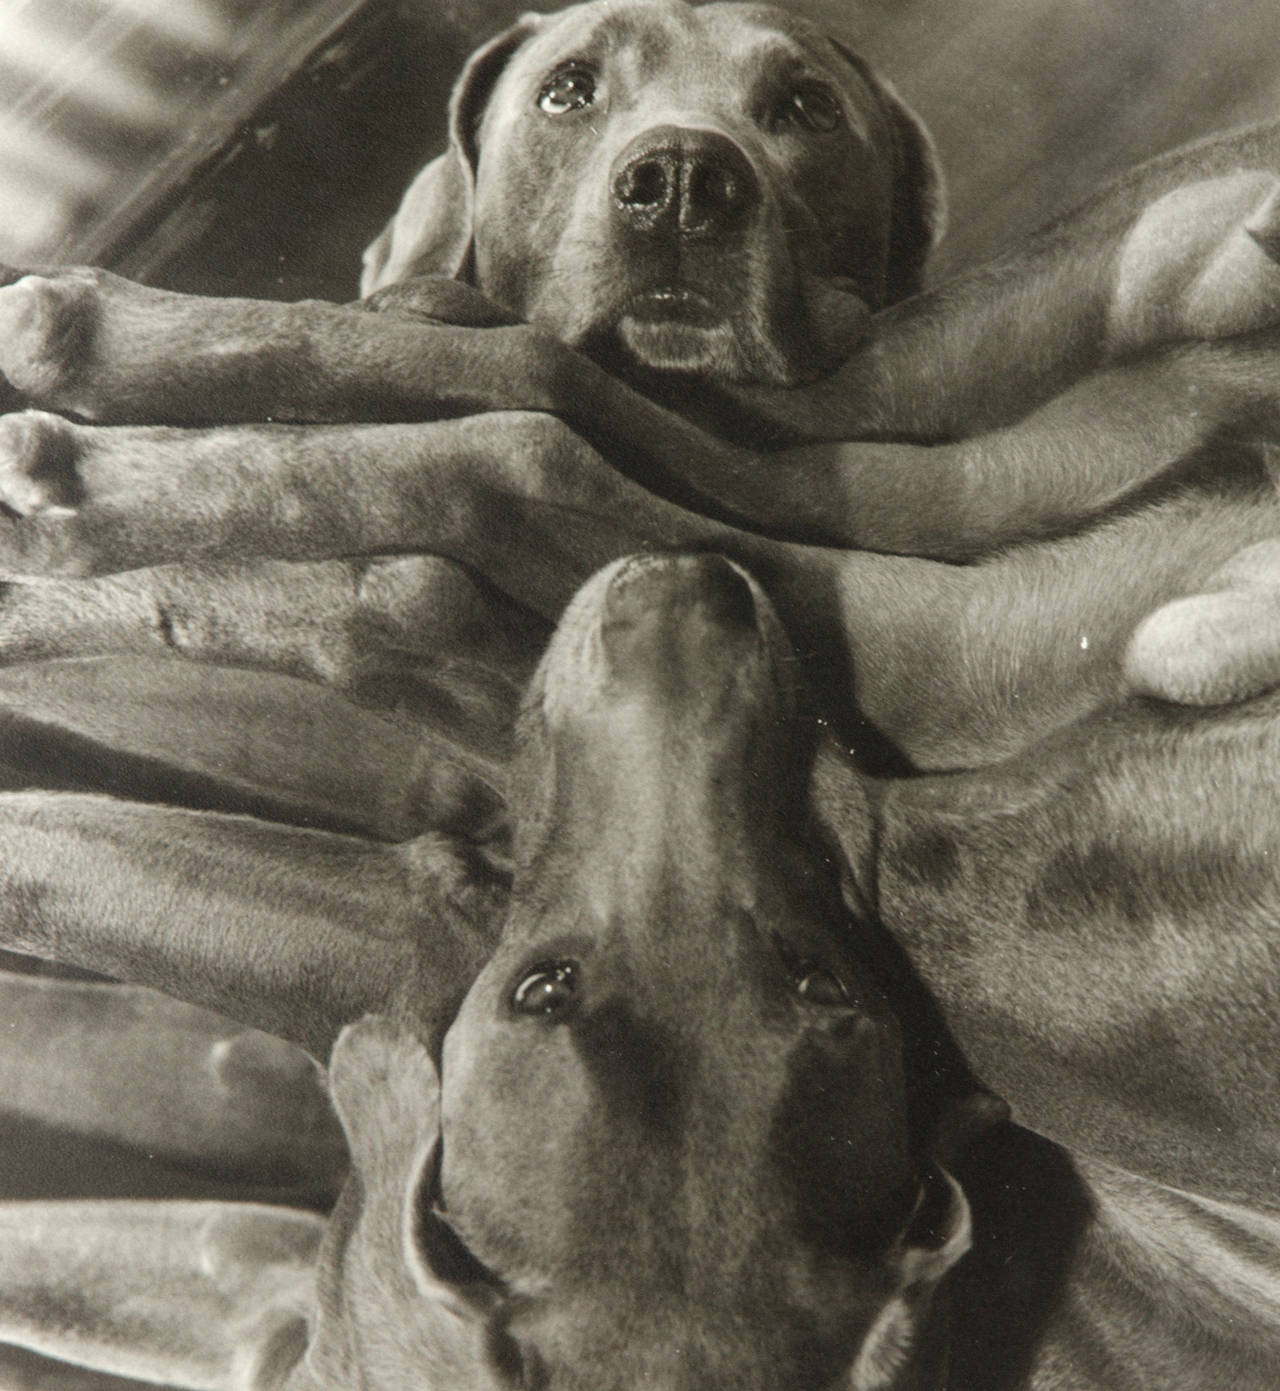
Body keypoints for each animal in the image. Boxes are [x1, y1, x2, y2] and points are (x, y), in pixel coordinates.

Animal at [0, 0, 1280, 1385]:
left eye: (803, 108)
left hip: (883, 475)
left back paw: (92, 401)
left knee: (504, 444)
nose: (680, 181)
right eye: (566, 89)